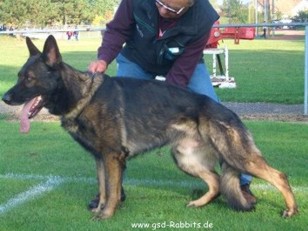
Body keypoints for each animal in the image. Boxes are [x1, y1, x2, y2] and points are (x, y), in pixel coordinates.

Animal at [1, 35, 298, 219]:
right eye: (19, 76)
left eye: (29, 79)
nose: (5, 98)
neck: (83, 95)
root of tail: (227, 111)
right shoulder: (100, 158)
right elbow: (104, 188)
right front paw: (99, 209)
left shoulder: (112, 157)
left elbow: (111, 191)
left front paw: (106, 215)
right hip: (184, 158)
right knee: (215, 182)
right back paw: (199, 203)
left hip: (236, 155)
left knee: (279, 175)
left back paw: (291, 210)